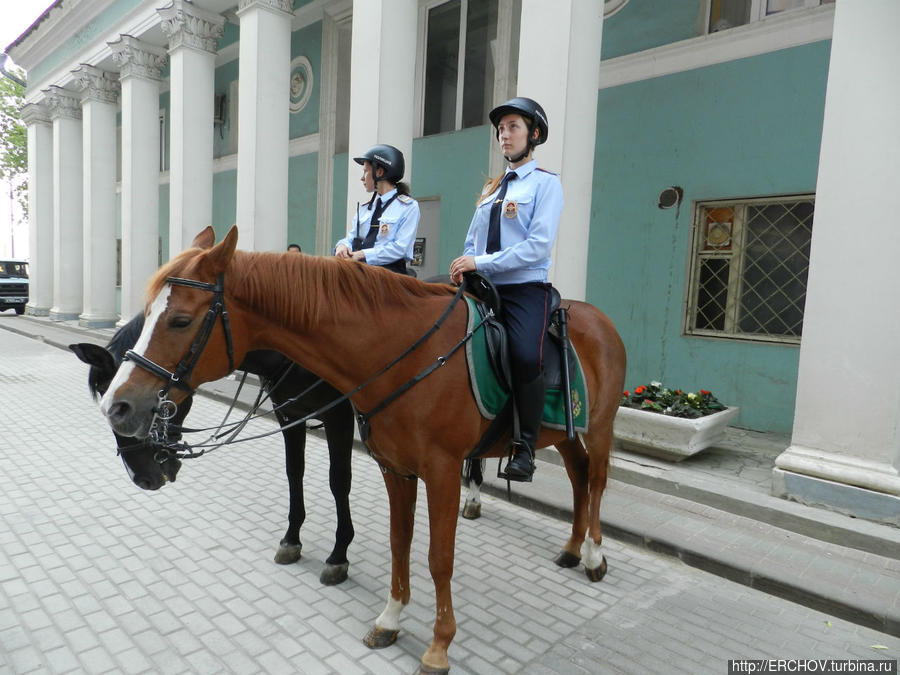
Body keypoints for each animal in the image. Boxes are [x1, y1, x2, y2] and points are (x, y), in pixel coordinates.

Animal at [98, 228, 624, 675]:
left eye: (180, 320)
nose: (117, 406)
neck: (405, 354)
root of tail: (599, 318)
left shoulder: (438, 469)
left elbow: (436, 554)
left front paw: (437, 645)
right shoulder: (393, 466)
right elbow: (396, 540)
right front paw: (389, 618)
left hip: (598, 429)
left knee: (596, 481)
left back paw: (594, 555)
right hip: (566, 434)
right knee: (579, 476)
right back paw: (572, 548)